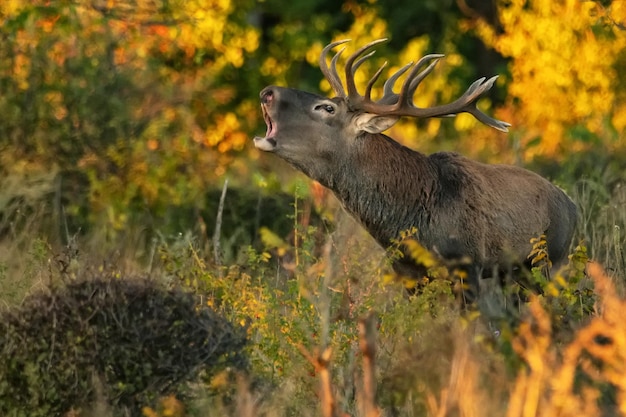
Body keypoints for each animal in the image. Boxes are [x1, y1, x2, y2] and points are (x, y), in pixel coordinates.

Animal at [252, 39, 576, 300]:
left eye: (326, 108)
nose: (267, 91)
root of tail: (573, 206)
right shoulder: (407, 273)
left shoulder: (468, 263)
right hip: (514, 272)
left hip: (553, 258)